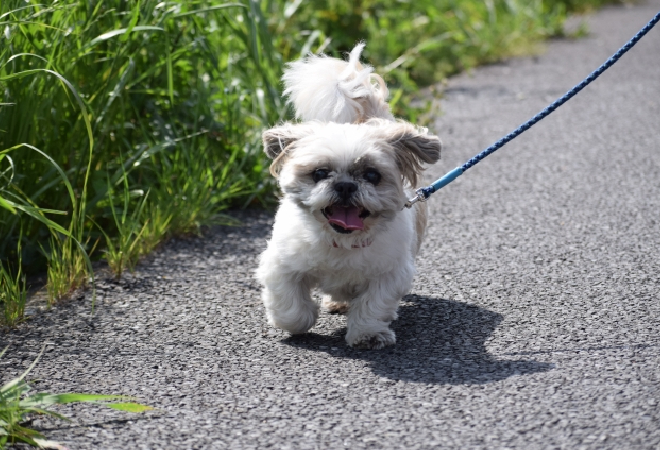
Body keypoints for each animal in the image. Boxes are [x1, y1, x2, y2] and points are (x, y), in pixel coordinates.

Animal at [255, 44, 440, 350]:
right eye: (320, 173)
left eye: (372, 175)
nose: (344, 186)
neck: (341, 242)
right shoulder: (281, 265)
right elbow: (290, 306)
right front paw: (297, 323)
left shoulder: (389, 274)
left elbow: (372, 305)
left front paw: (367, 334)